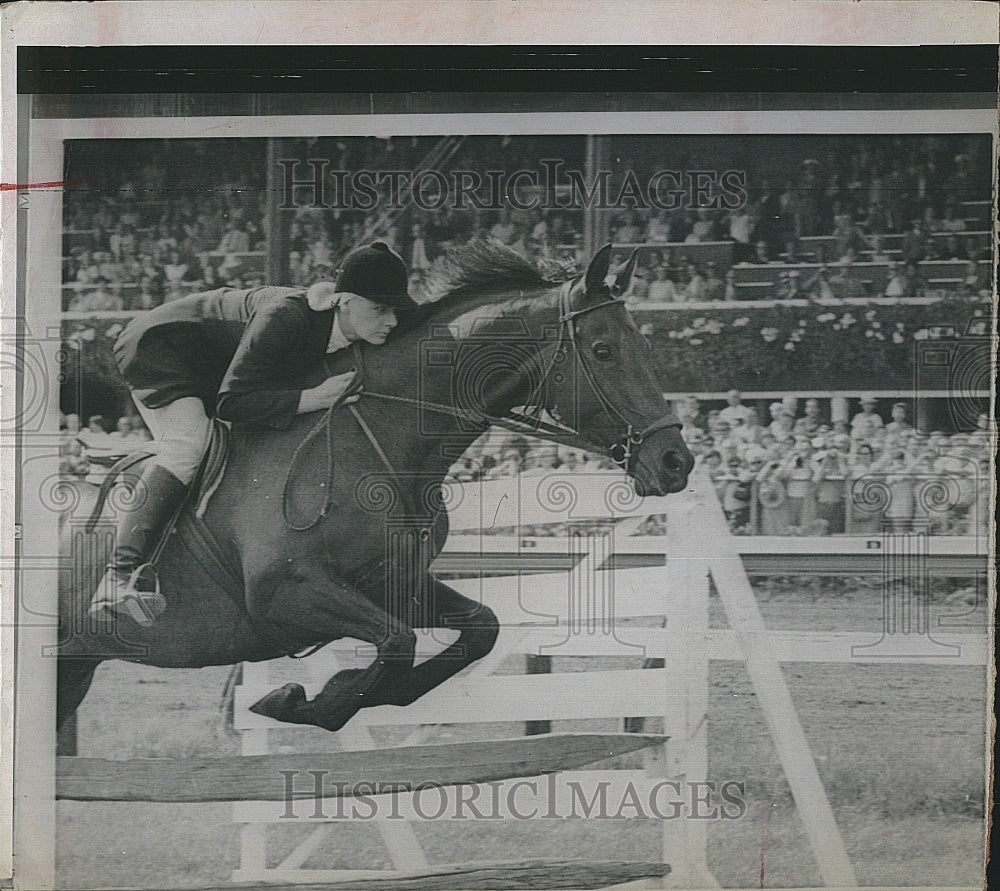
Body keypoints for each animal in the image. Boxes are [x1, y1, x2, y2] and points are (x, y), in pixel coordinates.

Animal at [56, 240, 696, 736]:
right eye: (604, 351)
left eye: (644, 345)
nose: (676, 464)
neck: (383, 442)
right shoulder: (287, 592)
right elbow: (396, 643)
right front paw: (304, 700)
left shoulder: (396, 580)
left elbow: (477, 630)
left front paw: (340, 693)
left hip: (75, 664)